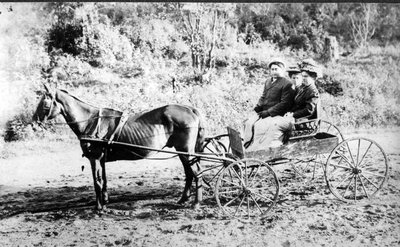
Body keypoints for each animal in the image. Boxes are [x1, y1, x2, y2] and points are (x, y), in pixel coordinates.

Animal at [32, 85, 205, 210]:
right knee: (189, 173)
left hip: (186, 151)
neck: (90, 121)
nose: (33, 122)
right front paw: (105, 200)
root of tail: (190, 109)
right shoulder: (102, 158)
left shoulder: (94, 158)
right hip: (182, 151)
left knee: (196, 172)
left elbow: (96, 182)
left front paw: (99, 207)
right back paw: (183, 199)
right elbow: (103, 179)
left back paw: (196, 203)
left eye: (44, 103)